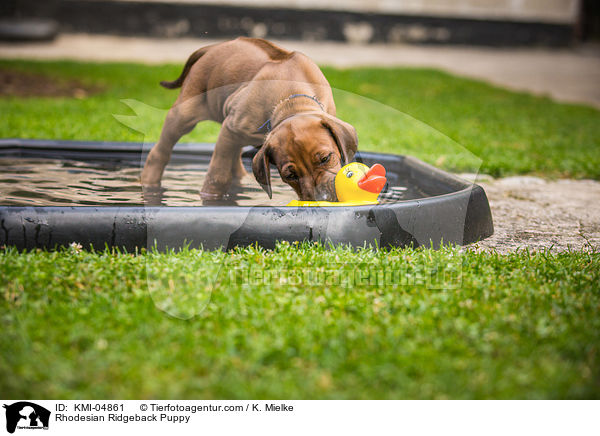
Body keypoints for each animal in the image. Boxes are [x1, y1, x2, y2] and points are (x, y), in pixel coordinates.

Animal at [141, 37, 356, 201]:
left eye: (326, 158)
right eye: (290, 175)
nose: (322, 200)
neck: (291, 100)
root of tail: (213, 47)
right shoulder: (230, 129)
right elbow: (217, 176)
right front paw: (210, 198)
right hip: (186, 113)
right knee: (160, 151)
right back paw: (149, 183)